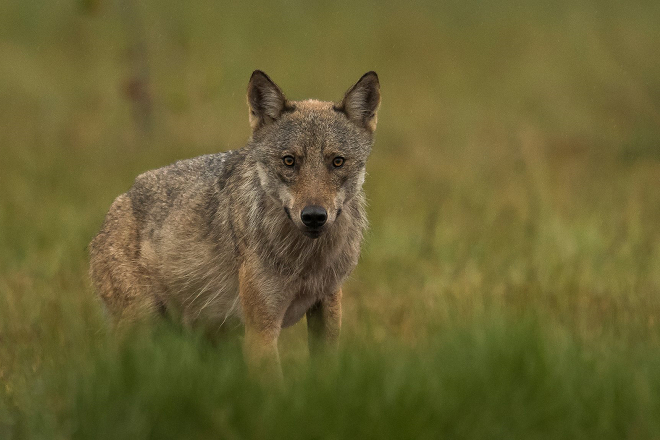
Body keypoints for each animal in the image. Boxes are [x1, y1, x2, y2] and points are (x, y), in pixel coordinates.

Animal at [91, 71, 384, 374]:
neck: (307, 262)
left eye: (337, 162)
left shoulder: (327, 310)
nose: (314, 216)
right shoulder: (261, 330)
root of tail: (120, 201)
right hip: (143, 325)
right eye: (289, 161)